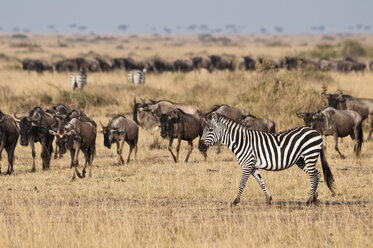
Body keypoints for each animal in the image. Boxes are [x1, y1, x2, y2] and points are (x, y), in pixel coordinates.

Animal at [199, 112, 336, 205]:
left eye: (210, 130)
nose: (200, 146)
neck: (241, 141)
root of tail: (315, 132)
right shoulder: (253, 166)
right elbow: (261, 181)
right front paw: (269, 199)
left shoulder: (247, 164)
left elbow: (242, 183)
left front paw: (236, 201)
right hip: (301, 160)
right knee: (317, 174)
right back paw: (315, 198)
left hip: (309, 155)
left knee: (313, 175)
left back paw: (309, 200)